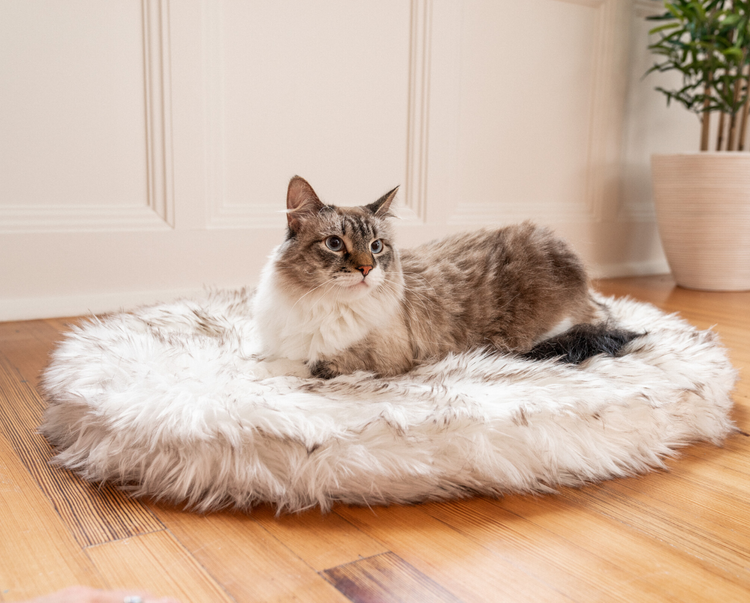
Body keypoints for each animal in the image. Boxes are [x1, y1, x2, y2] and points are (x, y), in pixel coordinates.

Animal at [254, 175, 640, 378]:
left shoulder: (379, 360)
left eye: (376, 246)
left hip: (541, 330)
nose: (366, 269)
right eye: (335, 244)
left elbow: (303, 363)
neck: (321, 304)